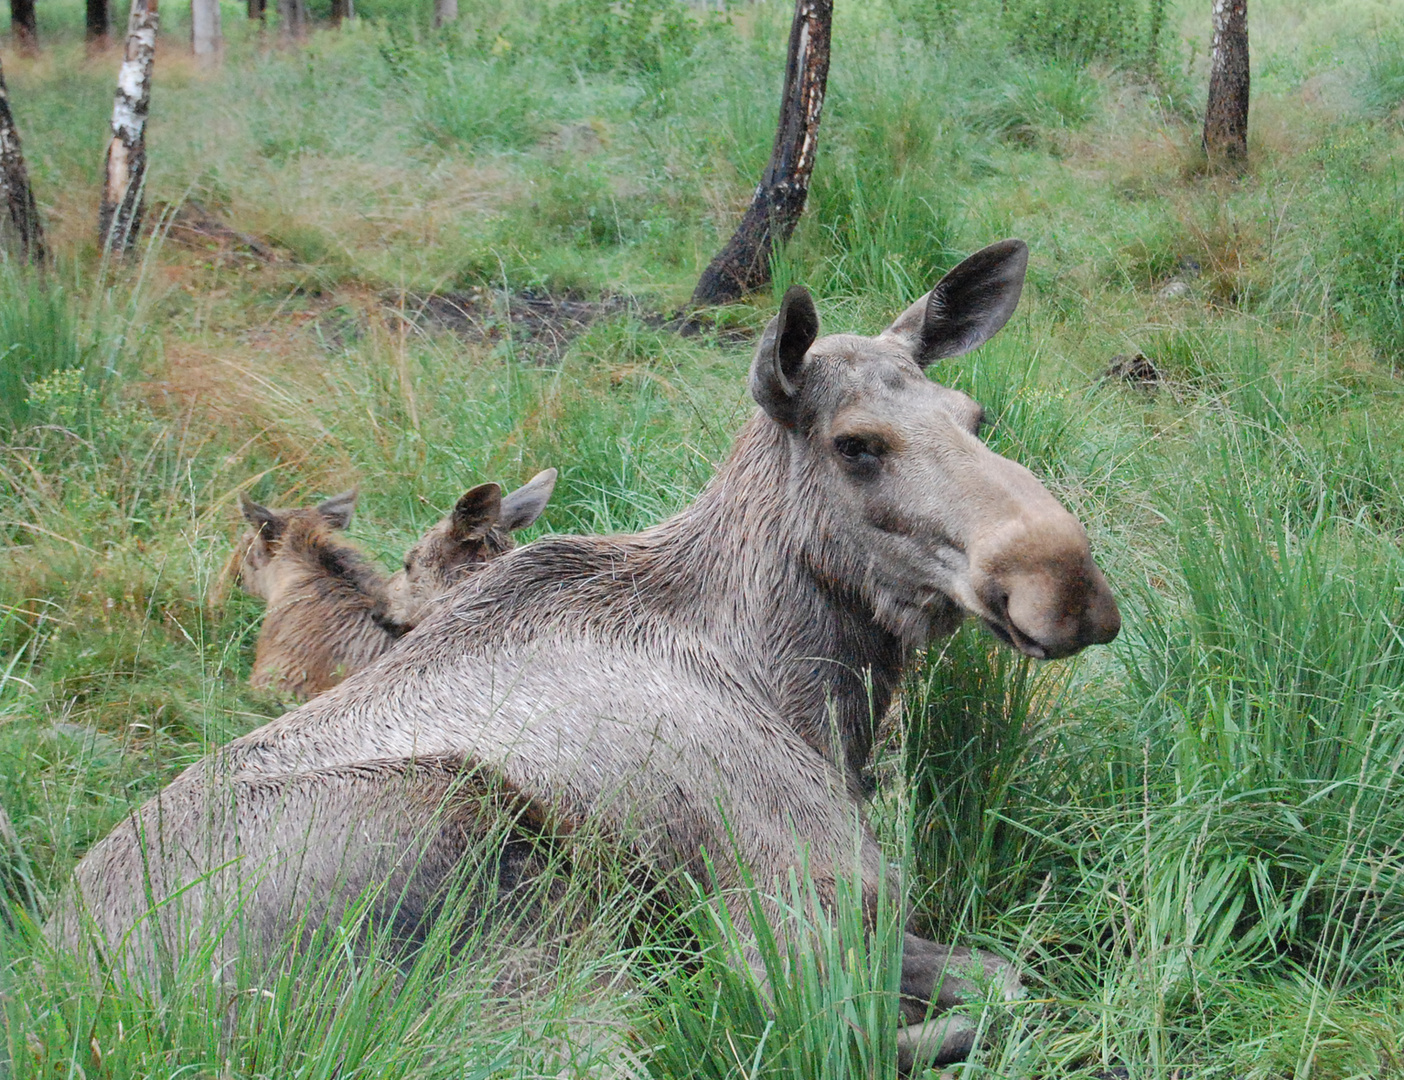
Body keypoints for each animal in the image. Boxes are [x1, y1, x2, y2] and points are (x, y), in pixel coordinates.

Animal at [54, 241, 1117, 1067]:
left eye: (975, 416)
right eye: (857, 444)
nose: (1068, 585)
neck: (808, 692)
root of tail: (75, 990)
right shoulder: (803, 894)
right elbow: (986, 982)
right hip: (491, 869)